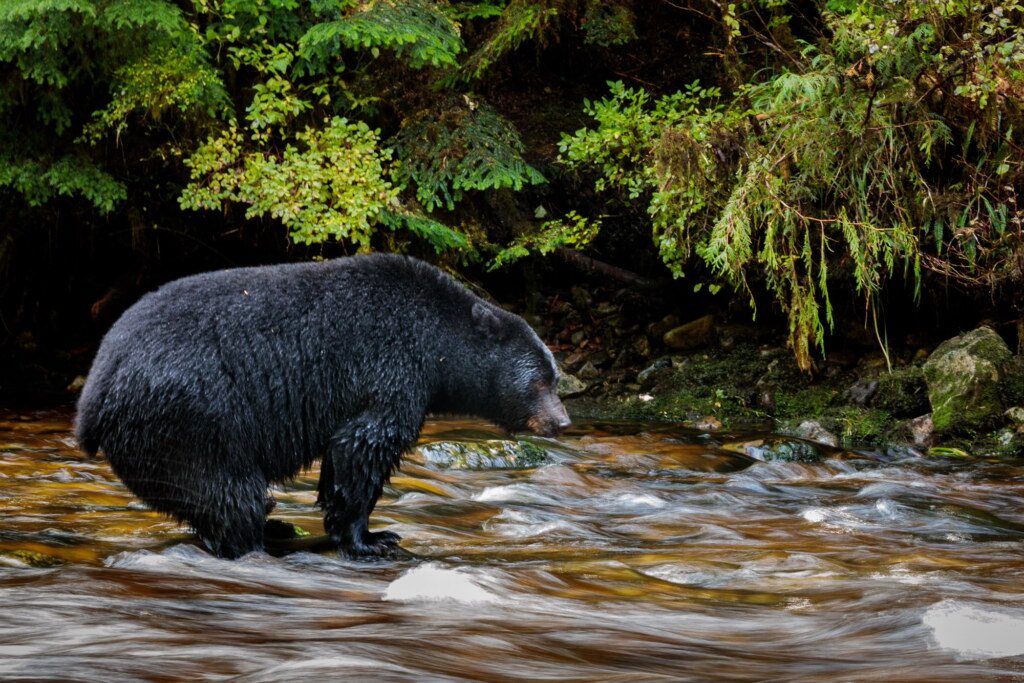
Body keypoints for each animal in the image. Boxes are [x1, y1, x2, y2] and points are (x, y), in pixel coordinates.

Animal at [75, 254, 570, 559]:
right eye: (540, 382)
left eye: (556, 376)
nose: (562, 421)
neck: (436, 346)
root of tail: (92, 395)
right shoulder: (389, 368)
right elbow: (365, 445)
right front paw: (370, 540)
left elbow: (342, 455)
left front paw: (366, 530)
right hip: (187, 420)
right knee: (228, 492)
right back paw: (257, 540)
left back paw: (275, 530)